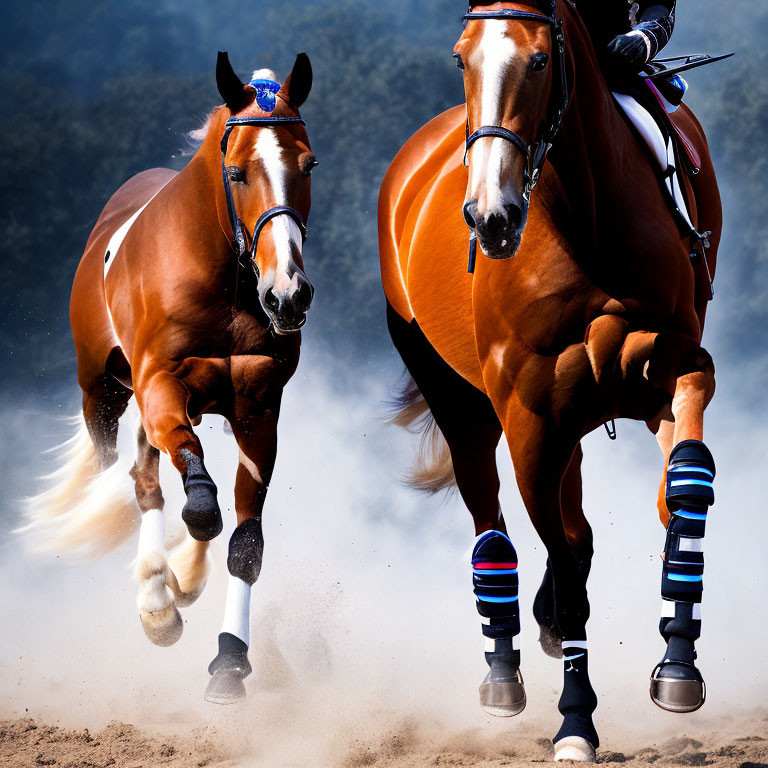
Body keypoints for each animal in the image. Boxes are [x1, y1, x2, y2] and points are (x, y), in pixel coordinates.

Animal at [24, 51, 318, 704]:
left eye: (308, 164)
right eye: (236, 172)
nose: (288, 294)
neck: (227, 285)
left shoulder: (259, 411)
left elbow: (243, 541)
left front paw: (229, 661)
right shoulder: (160, 387)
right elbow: (198, 504)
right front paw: (168, 592)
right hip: (102, 395)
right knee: (138, 480)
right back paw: (158, 602)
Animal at [380, 0, 724, 756]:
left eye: (540, 60)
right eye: (462, 56)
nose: (490, 216)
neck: (586, 219)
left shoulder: (669, 369)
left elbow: (682, 490)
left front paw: (678, 661)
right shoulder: (531, 419)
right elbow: (567, 575)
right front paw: (574, 722)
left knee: (581, 527)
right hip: (464, 405)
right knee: (493, 526)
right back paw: (502, 672)